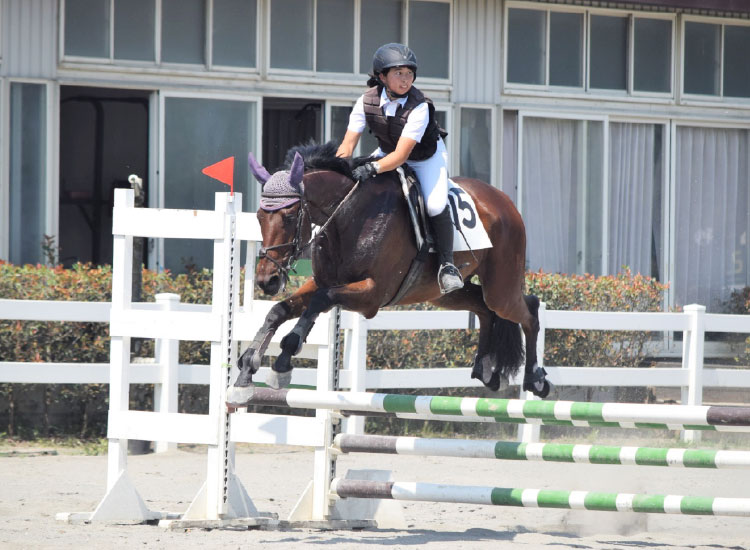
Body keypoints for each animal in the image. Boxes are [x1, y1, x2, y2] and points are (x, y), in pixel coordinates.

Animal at [227, 141, 551, 404]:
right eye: (259, 216)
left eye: (290, 216)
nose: (267, 280)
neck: (348, 217)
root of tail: (504, 201)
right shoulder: (324, 282)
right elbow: (279, 311)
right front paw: (246, 370)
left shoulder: (372, 295)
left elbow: (321, 300)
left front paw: (284, 357)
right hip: (444, 293)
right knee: (484, 309)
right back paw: (485, 369)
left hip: (500, 286)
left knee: (527, 310)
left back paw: (535, 379)